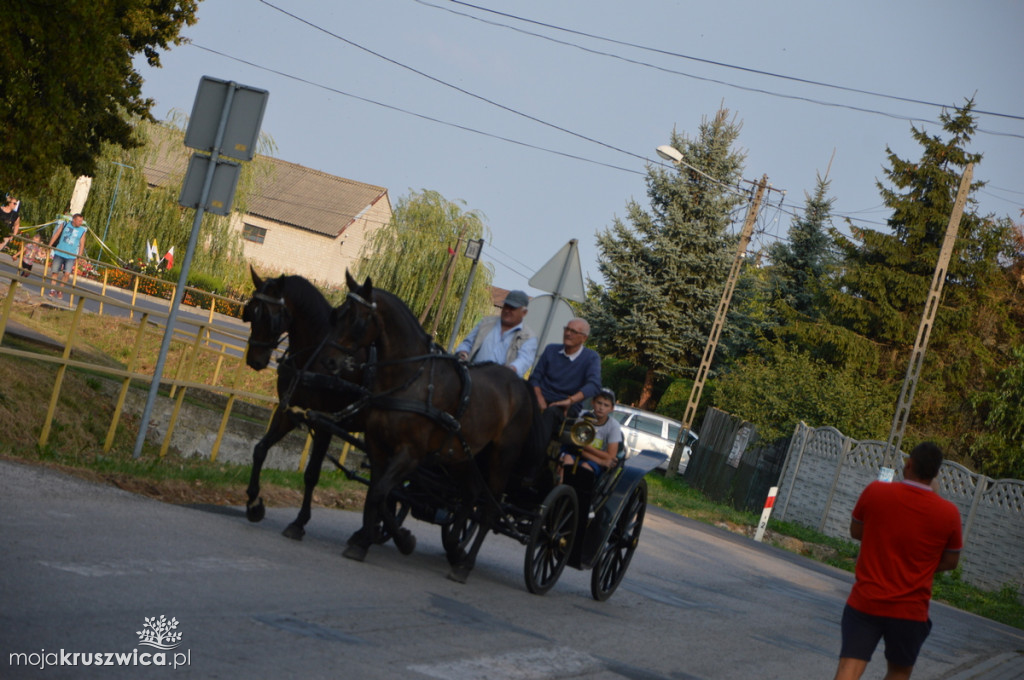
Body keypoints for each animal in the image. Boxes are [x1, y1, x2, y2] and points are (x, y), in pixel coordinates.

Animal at [239, 270, 368, 540]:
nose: (255, 360)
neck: (314, 357)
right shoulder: (288, 412)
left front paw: (299, 522)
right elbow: (260, 449)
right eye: (250, 312)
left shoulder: (325, 424)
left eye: (270, 317)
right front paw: (254, 503)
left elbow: (311, 474)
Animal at [321, 274, 548, 581]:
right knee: (470, 497)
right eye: (337, 314)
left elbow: (381, 492)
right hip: (467, 456)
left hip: (502, 458)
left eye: (356, 319)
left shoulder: (410, 454)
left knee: (489, 511)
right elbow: (377, 494)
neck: (410, 380)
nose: (329, 361)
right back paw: (454, 548)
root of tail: (521, 385)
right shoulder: (378, 447)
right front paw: (367, 539)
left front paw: (401, 540)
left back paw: (464, 565)